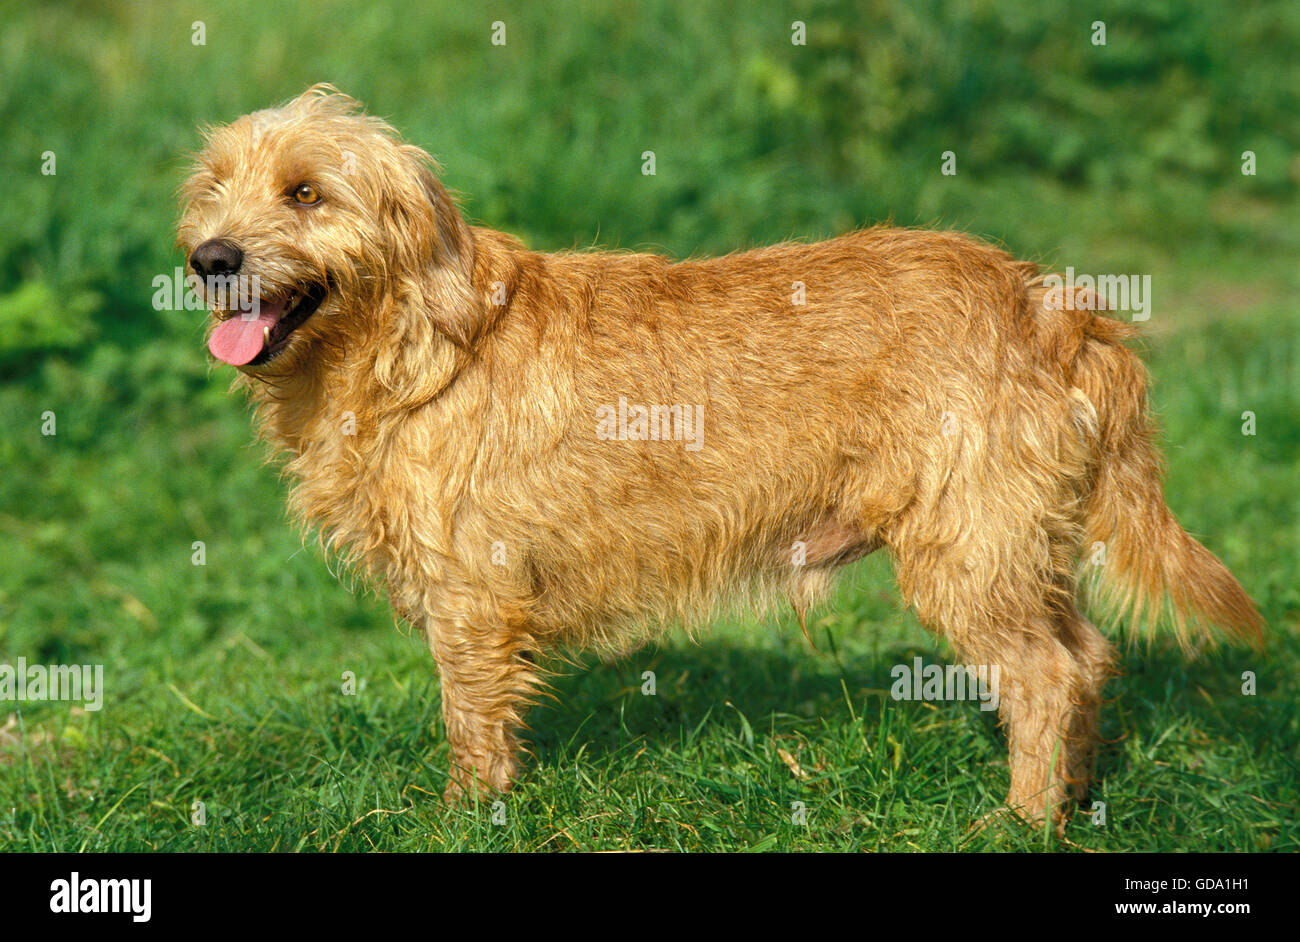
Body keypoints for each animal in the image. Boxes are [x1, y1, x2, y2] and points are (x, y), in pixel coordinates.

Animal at [178, 86, 1263, 821]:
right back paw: (1075, 799)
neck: (413, 347)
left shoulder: (472, 599)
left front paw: (462, 820)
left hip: (968, 555)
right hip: (1021, 549)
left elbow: (471, 728)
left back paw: (1020, 820)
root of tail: (1050, 304)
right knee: (1087, 658)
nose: (209, 258)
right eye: (214, 189)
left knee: (1046, 677)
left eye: (307, 192)